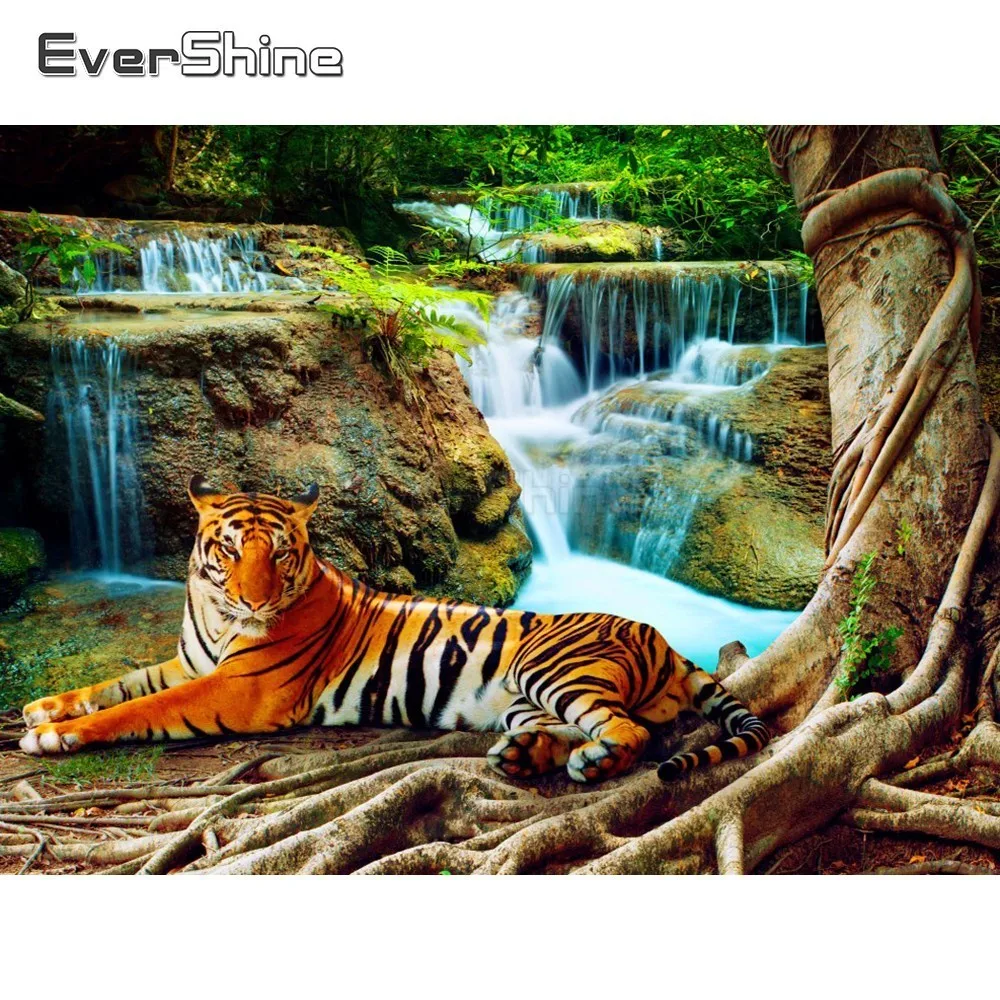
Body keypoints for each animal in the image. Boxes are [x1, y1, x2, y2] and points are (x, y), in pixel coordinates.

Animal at [20, 476, 770, 784]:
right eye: (229, 549)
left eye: (280, 554)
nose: (255, 600)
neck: (214, 612)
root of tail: (663, 639)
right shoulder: (192, 663)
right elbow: (119, 684)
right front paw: (45, 707)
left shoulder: (237, 689)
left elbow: (141, 708)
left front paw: (55, 736)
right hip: (524, 700)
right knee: (574, 729)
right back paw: (526, 758)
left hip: (552, 669)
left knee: (630, 732)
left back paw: (592, 762)